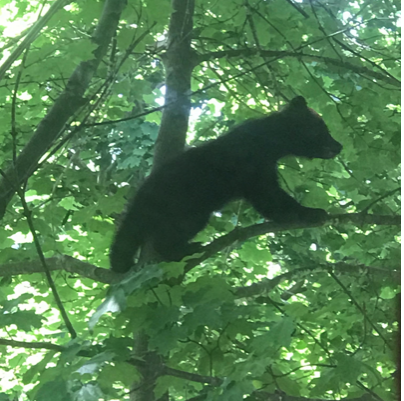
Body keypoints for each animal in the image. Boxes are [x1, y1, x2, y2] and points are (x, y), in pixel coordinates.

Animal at [109, 96, 340, 272]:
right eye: (324, 129)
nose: (339, 145)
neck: (271, 143)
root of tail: (142, 194)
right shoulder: (251, 164)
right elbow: (270, 196)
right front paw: (311, 212)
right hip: (185, 202)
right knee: (174, 231)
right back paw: (186, 248)